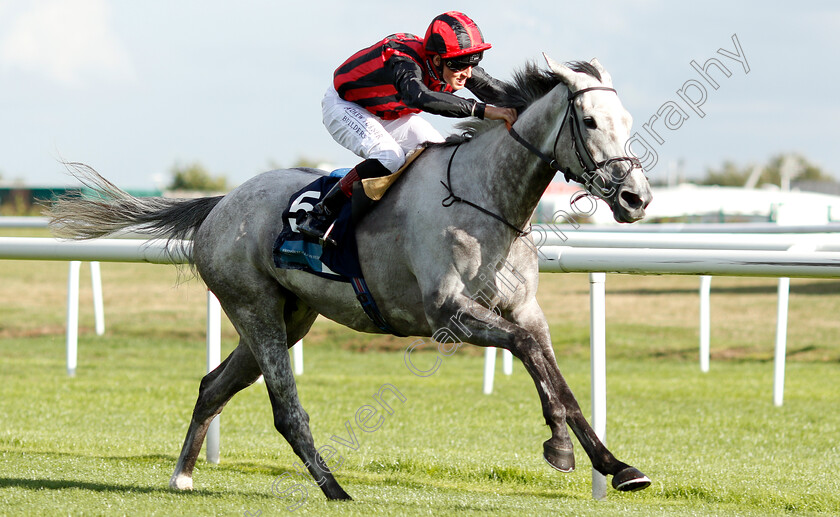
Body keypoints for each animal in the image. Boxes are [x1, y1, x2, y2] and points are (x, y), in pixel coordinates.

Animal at [49, 55, 656, 500]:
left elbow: (558, 377)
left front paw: (616, 465)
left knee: (213, 386)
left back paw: (183, 475)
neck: (483, 196)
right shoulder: (447, 314)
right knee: (286, 409)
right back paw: (335, 489)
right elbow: (529, 352)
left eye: (627, 122)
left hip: (288, 316)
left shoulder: (525, 308)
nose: (636, 198)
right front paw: (560, 449)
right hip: (255, 309)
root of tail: (220, 204)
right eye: (591, 122)